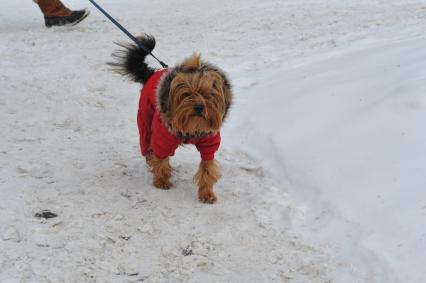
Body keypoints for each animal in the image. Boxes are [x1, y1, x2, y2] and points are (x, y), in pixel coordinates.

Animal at [108, 35, 231, 204]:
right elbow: (161, 158)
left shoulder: (209, 141)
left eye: (208, 95)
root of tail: (151, 74)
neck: (191, 127)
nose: (199, 107)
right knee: (147, 143)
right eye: (187, 94)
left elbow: (207, 167)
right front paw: (161, 181)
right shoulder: (162, 137)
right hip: (145, 119)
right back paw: (150, 159)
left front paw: (207, 193)